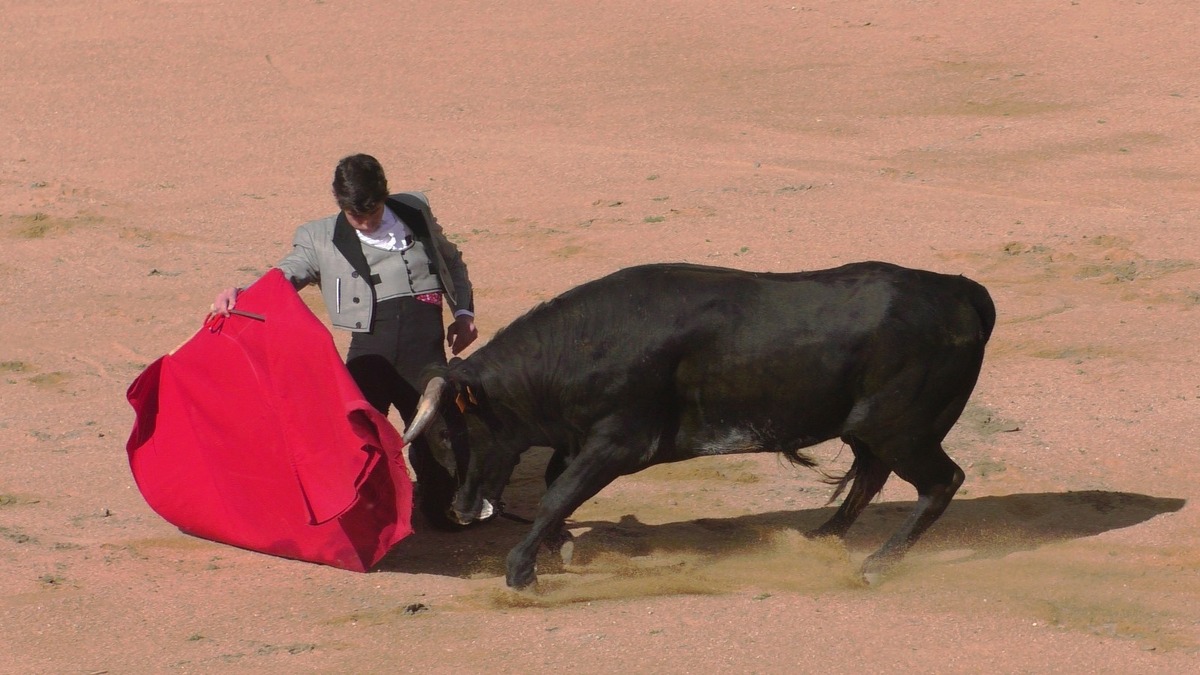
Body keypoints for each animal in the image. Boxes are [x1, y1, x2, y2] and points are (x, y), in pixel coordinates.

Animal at [403, 260, 993, 586]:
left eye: (443, 435)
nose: (459, 511)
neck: (580, 347)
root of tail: (963, 292)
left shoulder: (618, 443)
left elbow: (557, 493)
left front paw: (520, 570)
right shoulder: (584, 439)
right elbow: (555, 485)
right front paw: (559, 547)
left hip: (901, 429)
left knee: (941, 482)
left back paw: (873, 565)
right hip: (874, 429)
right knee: (871, 477)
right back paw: (816, 540)